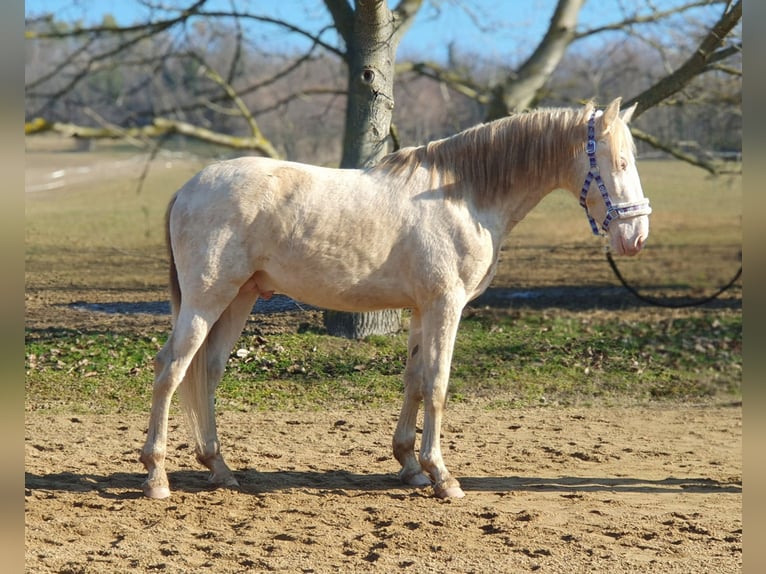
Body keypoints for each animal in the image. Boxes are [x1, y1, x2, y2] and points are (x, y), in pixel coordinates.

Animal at [140, 98, 656, 500]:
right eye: (620, 162)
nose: (636, 237)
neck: (463, 195)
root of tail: (186, 189)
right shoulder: (446, 305)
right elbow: (438, 384)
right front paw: (443, 477)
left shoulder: (422, 309)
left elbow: (414, 381)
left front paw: (410, 466)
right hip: (208, 297)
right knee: (171, 368)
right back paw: (157, 477)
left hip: (239, 298)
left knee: (206, 371)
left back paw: (219, 468)